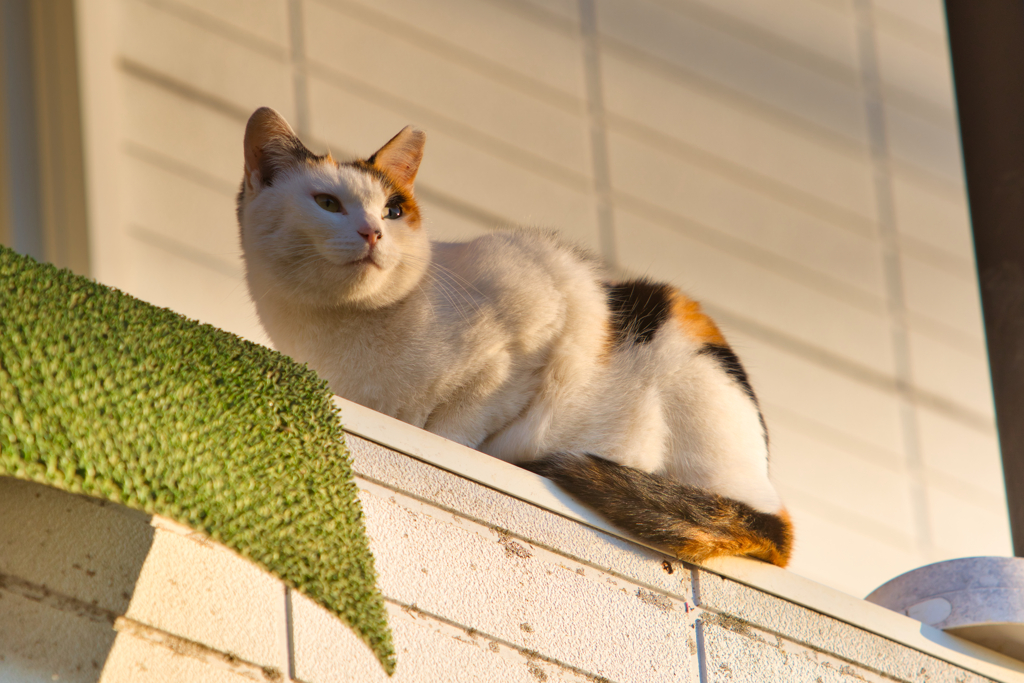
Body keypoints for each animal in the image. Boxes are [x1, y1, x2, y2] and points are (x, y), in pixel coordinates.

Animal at [237, 107, 790, 565]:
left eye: (394, 211)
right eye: (327, 203)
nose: (373, 232)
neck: (344, 330)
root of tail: (768, 495)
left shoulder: (536, 326)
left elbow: (458, 426)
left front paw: (447, 441)